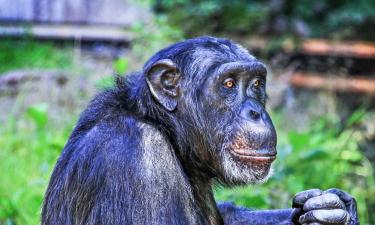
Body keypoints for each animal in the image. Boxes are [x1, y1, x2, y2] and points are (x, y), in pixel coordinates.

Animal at [41, 37, 362, 225]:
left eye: (256, 84)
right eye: (229, 84)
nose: (256, 112)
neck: (166, 128)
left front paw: (335, 211)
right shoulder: (137, 160)